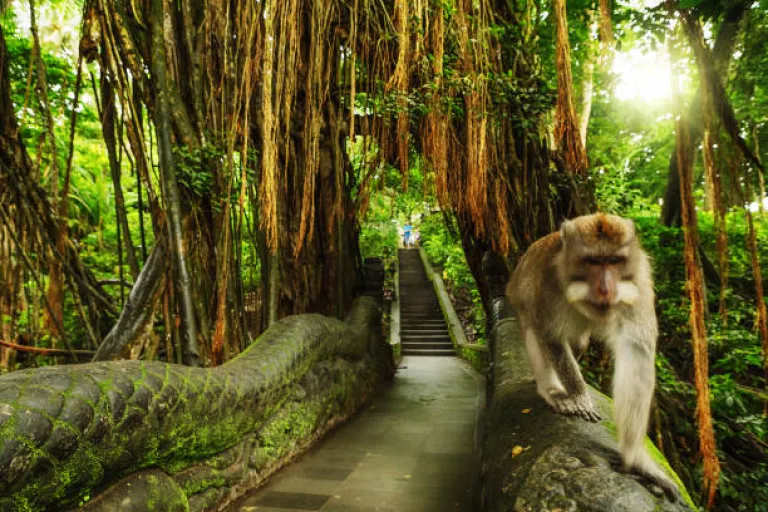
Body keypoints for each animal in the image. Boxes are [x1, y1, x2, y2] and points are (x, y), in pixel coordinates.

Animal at [510, 213, 680, 500]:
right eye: (592, 261)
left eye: (614, 261)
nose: (605, 289)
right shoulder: (546, 282)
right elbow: (550, 335)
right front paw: (578, 395)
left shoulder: (639, 280)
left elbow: (636, 351)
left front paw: (636, 460)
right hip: (521, 302)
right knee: (536, 331)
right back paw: (550, 389)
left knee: (578, 343)